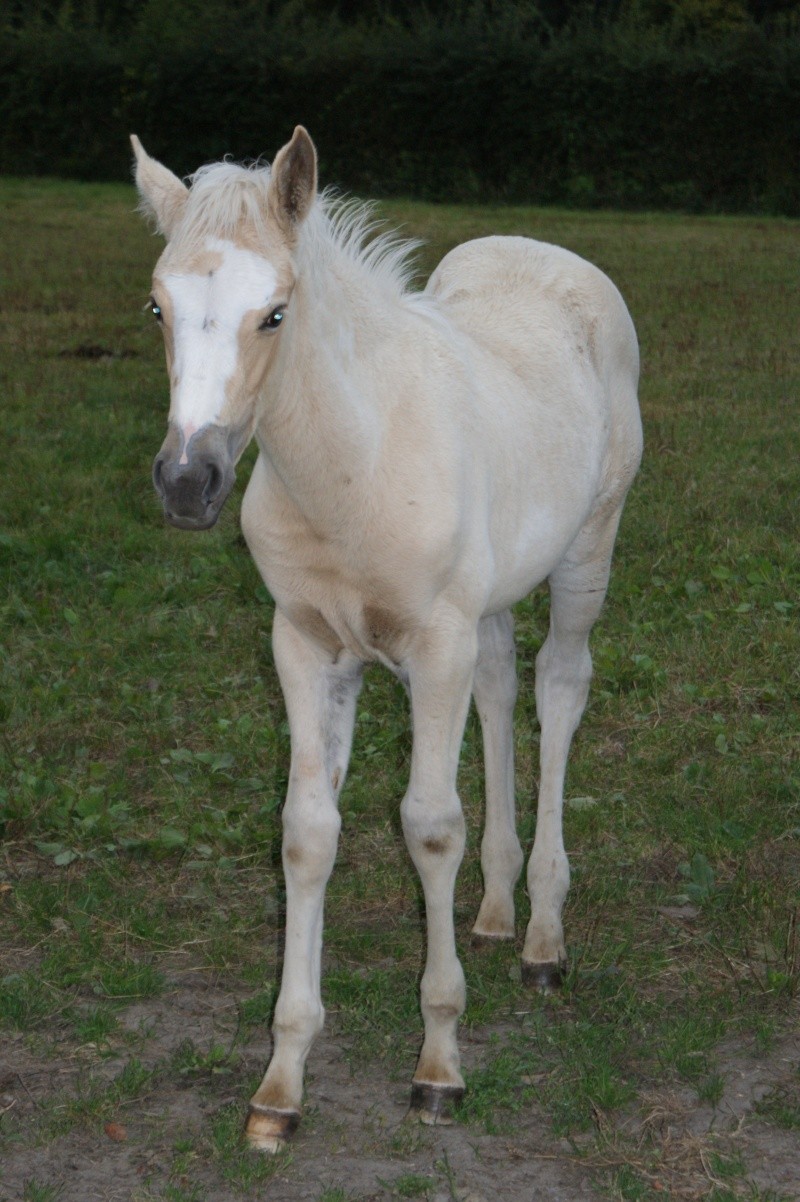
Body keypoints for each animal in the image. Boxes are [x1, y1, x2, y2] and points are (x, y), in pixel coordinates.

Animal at [132, 126, 643, 1149]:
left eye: (275, 313)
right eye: (158, 306)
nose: (187, 483)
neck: (353, 467)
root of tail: (549, 249)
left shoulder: (431, 647)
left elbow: (429, 826)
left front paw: (438, 1063)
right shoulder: (304, 648)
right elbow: (306, 834)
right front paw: (280, 1086)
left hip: (587, 552)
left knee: (560, 685)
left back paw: (542, 936)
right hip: (490, 599)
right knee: (501, 683)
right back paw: (497, 911)